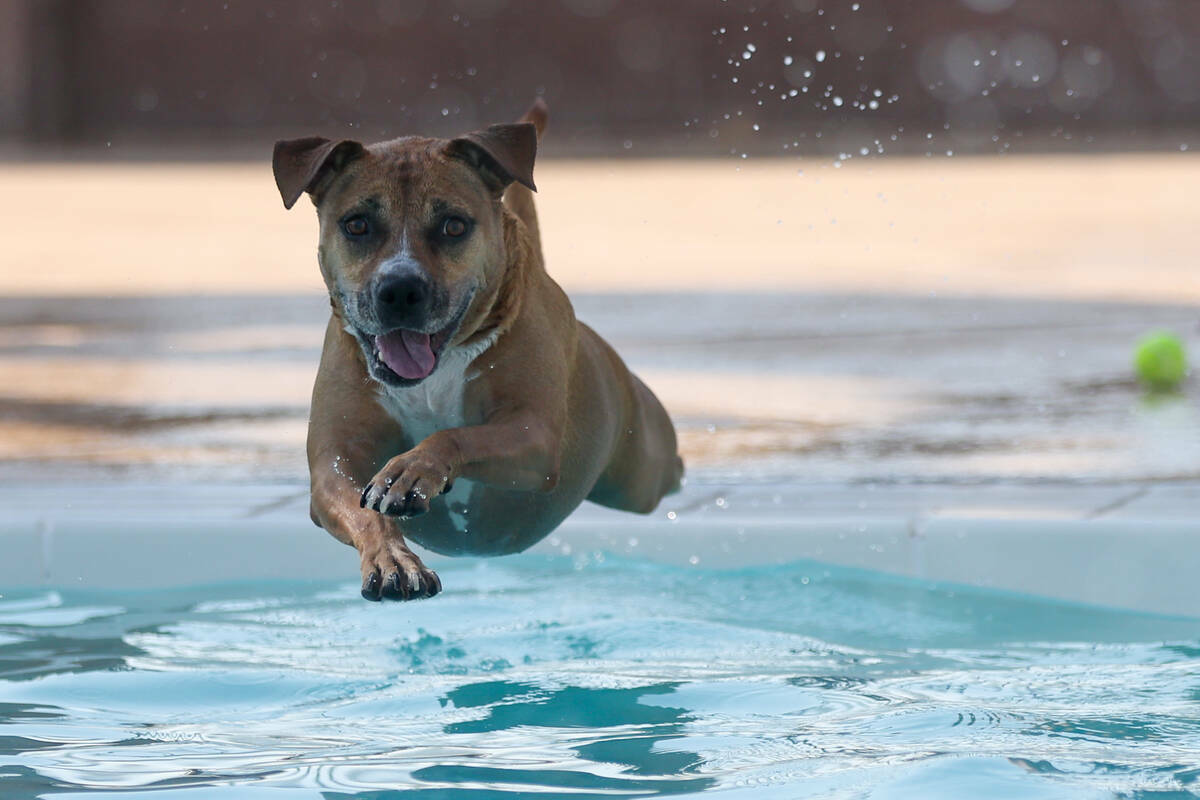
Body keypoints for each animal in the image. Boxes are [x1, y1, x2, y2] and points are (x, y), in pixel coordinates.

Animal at [273, 100, 686, 599]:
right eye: (356, 224)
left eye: (454, 225)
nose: (400, 289)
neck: (431, 377)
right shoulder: (334, 466)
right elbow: (363, 510)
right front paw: (393, 560)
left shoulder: (533, 436)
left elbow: (457, 435)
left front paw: (413, 469)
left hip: (640, 468)